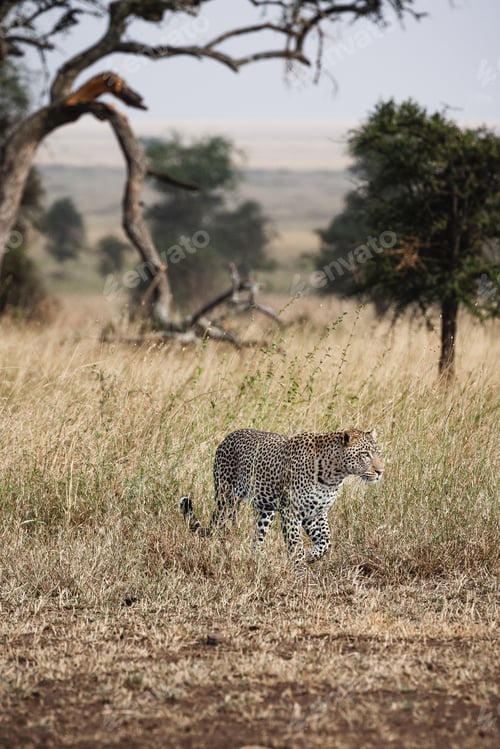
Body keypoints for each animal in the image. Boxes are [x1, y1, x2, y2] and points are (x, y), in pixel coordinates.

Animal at [180, 427, 384, 562]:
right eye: (365, 454)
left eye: (379, 453)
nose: (381, 471)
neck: (334, 475)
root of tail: (227, 437)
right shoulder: (291, 511)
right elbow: (295, 544)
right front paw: (298, 571)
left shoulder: (316, 513)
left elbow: (326, 542)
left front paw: (311, 556)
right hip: (227, 499)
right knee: (219, 529)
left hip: (265, 510)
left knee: (257, 539)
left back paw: (259, 560)